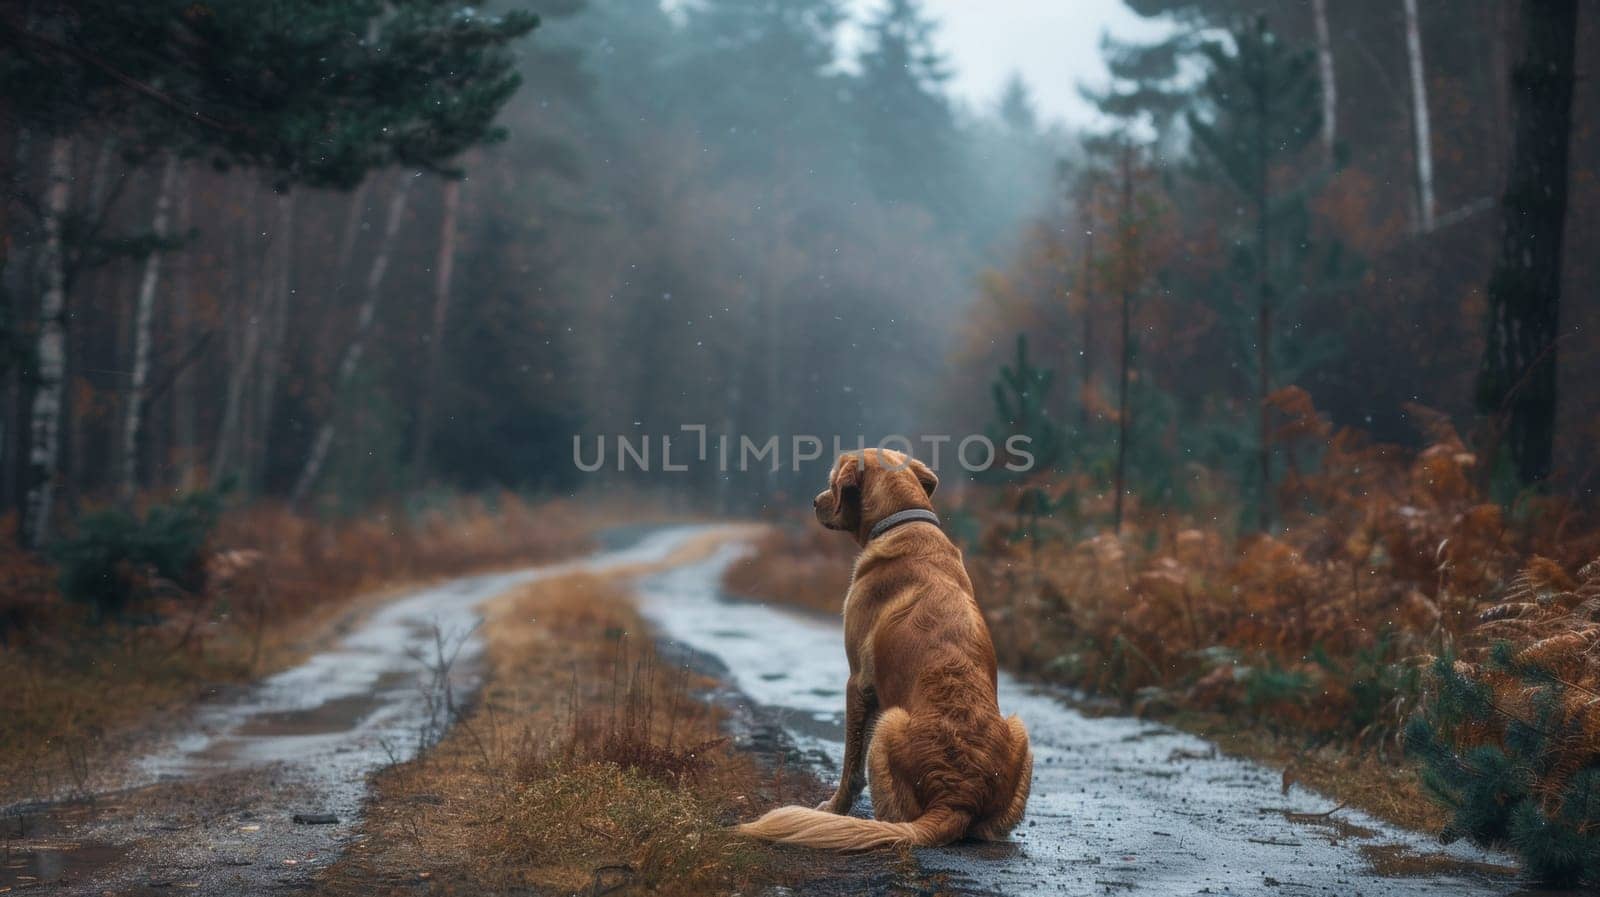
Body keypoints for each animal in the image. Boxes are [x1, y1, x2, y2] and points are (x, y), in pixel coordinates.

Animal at [739, 450, 1036, 850]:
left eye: (832, 483)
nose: (815, 502)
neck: (903, 521)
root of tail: (957, 797)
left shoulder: (858, 681)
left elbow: (850, 765)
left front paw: (834, 807)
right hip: (1020, 732)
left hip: (888, 722)